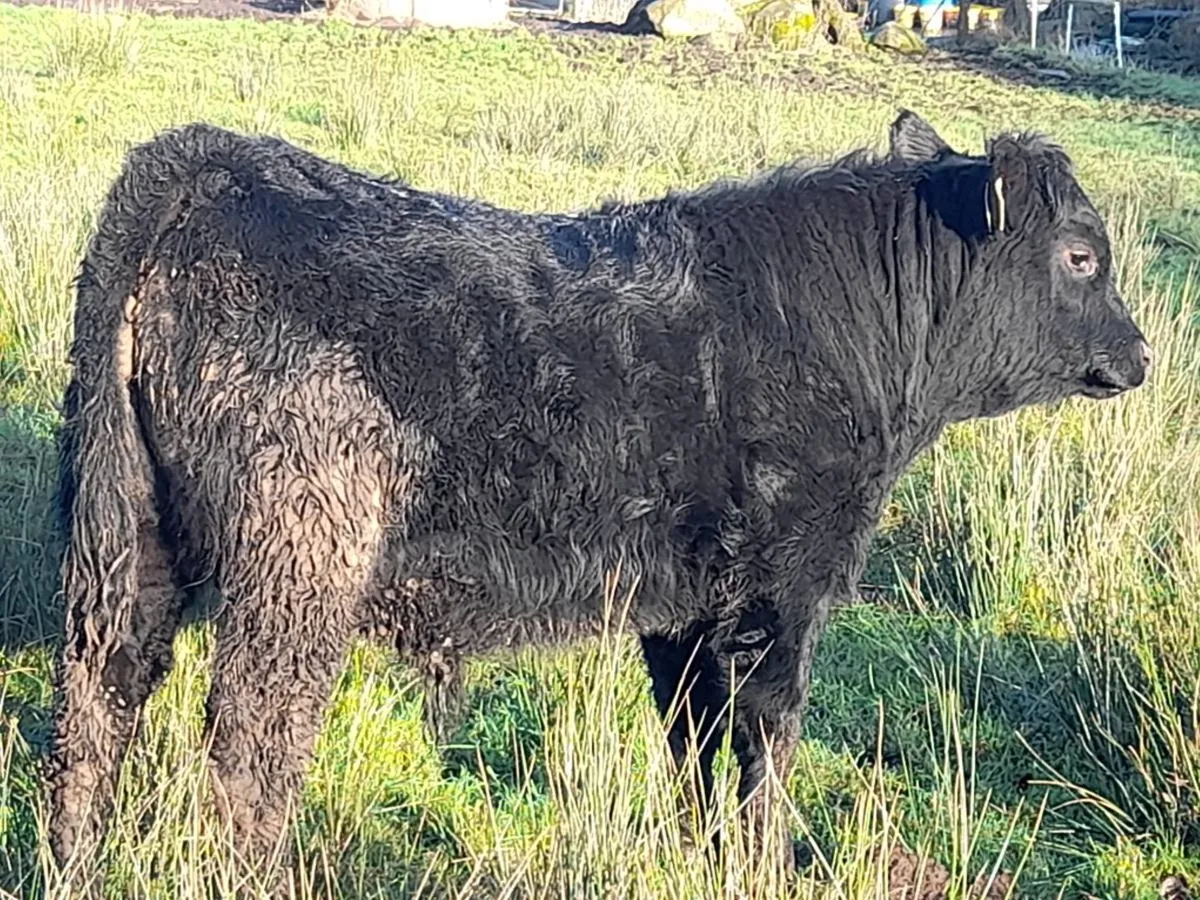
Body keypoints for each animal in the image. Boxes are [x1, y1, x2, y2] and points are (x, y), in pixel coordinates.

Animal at [45, 109, 1151, 889]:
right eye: (1081, 256)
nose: (1140, 354)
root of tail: (212, 160)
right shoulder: (786, 588)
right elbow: (768, 740)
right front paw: (759, 864)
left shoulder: (688, 603)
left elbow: (692, 739)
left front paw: (698, 855)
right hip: (298, 566)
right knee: (252, 744)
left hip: (132, 540)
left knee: (99, 699)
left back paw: (76, 868)